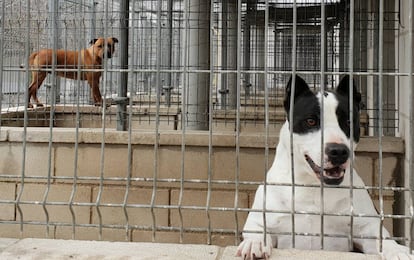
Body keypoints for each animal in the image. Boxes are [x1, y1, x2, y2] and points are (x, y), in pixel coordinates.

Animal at [238, 74, 412, 258]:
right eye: (311, 121)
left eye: (349, 121)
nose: (339, 151)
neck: (312, 185)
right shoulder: (260, 219)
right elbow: (257, 229)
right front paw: (254, 243)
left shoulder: (367, 227)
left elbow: (382, 238)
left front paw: (397, 251)